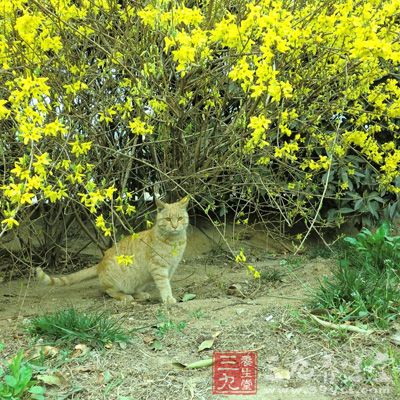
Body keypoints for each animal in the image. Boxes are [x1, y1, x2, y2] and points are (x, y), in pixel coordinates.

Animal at [35, 196, 189, 304]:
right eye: (168, 219)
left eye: (180, 218)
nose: (175, 226)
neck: (175, 241)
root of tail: (100, 264)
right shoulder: (159, 268)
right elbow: (164, 285)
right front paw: (168, 299)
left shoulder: (171, 268)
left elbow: (166, 283)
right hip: (119, 281)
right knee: (109, 291)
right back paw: (125, 296)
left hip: (139, 279)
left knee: (134, 289)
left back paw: (140, 294)